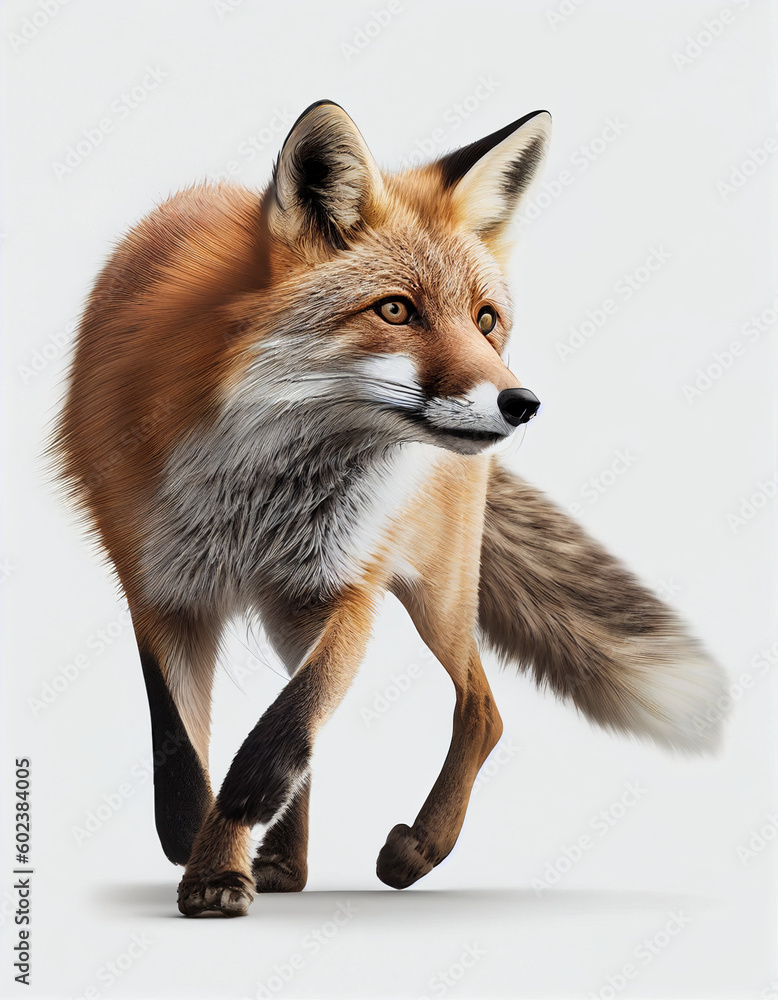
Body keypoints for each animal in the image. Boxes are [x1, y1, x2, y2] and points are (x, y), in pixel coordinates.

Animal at [55, 99, 726, 917]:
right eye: (397, 310)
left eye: (486, 319)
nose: (522, 403)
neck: (256, 486)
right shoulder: (159, 587)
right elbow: (181, 747)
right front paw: (204, 851)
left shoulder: (349, 586)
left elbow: (281, 731)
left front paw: (226, 842)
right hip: (294, 612)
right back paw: (287, 865)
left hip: (431, 592)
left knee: (481, 707)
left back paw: (417, 850)